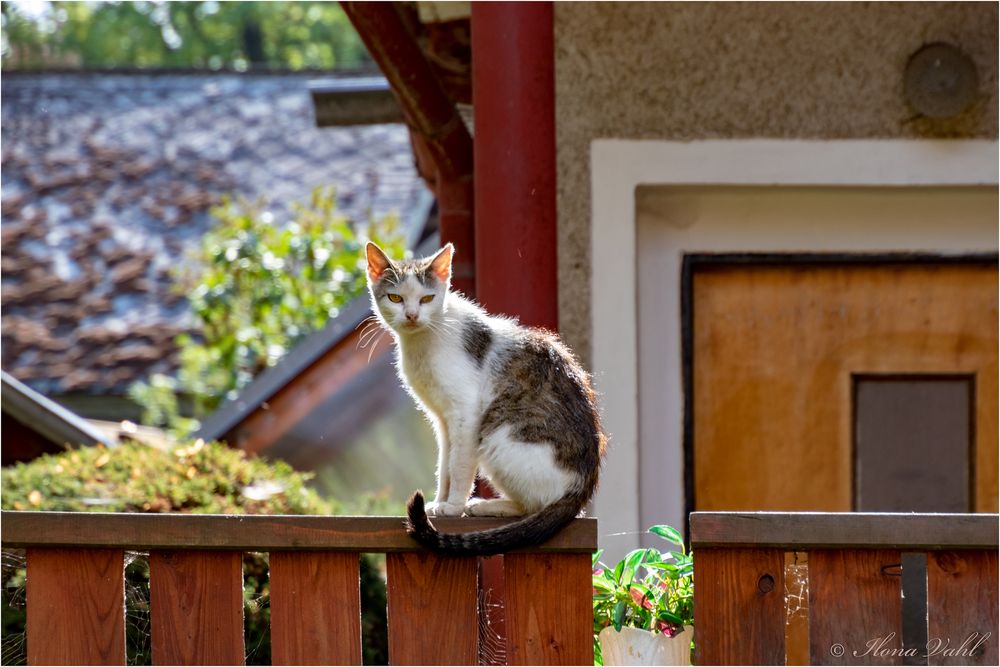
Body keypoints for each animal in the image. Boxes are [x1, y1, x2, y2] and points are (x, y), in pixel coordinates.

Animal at [366, 243, 604, 556]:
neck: (424, 340)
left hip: (496, 436)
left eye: (427, 298)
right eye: (396, 298)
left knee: (535, 505)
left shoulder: (465, 412)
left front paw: (453, 506)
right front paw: (439, 502)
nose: (412, 315)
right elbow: (445, 464)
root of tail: (581, 488)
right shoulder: (443, 420)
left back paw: (485, 506)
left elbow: (458, 464)